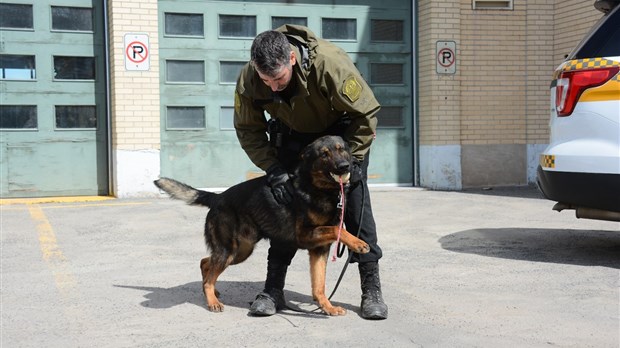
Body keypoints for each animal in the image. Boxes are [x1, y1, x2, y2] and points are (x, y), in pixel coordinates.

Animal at [154, 135, 368, 316]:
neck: (316, 188)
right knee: (208, 272)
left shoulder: (319, 249)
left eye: (341, 149)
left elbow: (319, 286)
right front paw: (358, 243)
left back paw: (213, 291)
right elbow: (337, 228)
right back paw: (212, 300)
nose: (345, 166)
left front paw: (327, 307)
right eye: (324, 154)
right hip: (229, 251)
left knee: (205, 263)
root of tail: (218, 197)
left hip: (240, 252)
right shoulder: (305, 236)